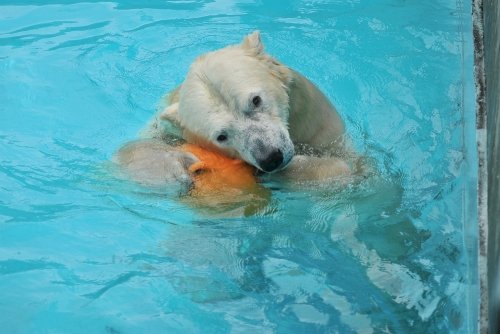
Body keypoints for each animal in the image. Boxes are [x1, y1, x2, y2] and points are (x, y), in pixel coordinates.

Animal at [115, 31, 354, 193]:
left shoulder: (320, 125)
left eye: (256, 100)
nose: (271, 158)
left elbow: (349, 168)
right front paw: (170, 165)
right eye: (221, 136)